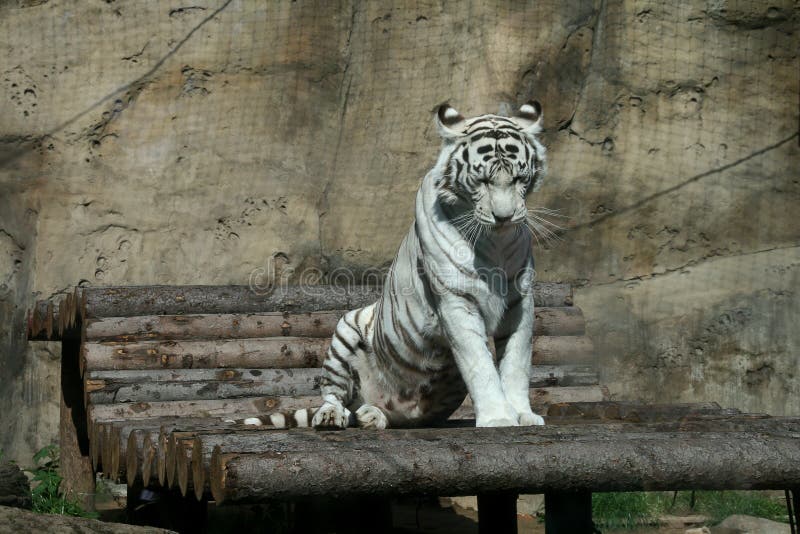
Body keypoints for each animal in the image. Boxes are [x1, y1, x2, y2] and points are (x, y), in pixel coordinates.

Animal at [310, 101, 548, 432]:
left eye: (518, 179)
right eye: (483, 180)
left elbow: (516, 362)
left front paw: (523, 414)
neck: (495, 242)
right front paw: (498, 418)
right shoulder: (456, 300)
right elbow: (480, 364)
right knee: (333, 393)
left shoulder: (520, 301)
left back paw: (373, 415)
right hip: (346, 329)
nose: (504, 217)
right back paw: (331, 417)